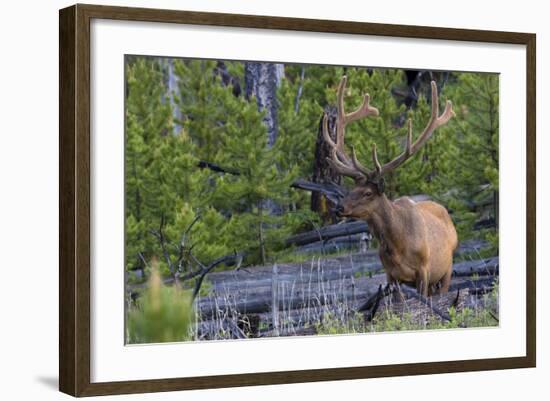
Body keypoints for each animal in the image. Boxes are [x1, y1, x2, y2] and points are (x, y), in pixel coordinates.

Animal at [326, 76, 460, 296]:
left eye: (368, 193)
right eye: (351, 190)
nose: (339, 207)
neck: (397, 245)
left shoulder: (424, 270)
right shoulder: (391, 275)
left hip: (446, 270)